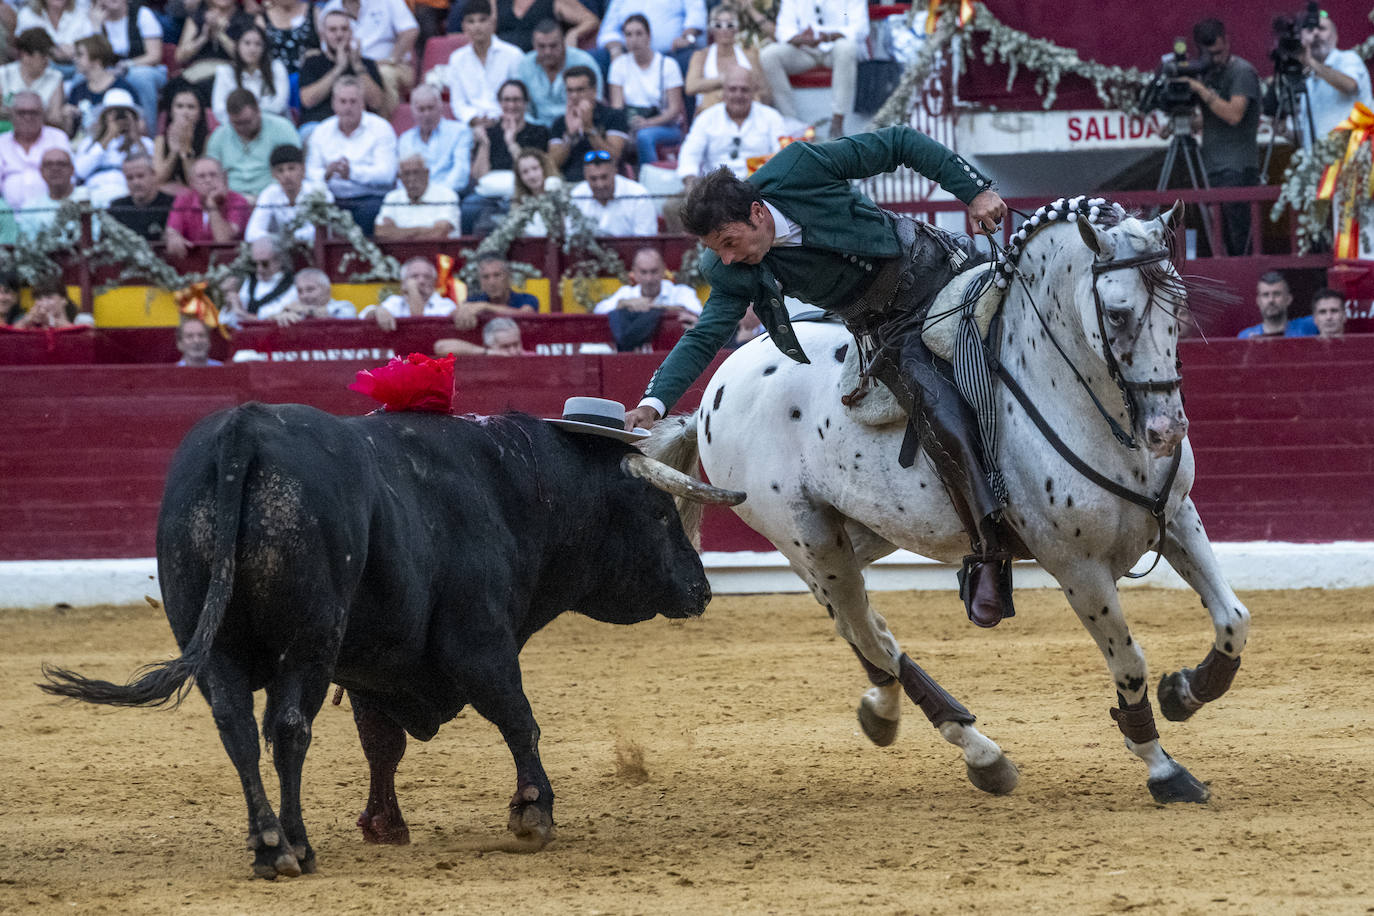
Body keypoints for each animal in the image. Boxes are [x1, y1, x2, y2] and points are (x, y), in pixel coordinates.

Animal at [42, 403, 747, 878]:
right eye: (658, 512)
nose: (701, 588)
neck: (514, 488)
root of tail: (245, 431)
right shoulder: (480, 643)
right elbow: (519, 719)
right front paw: (533, 814)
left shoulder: (373, 668)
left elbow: (382, 745)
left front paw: (383, 825)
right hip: (310, 644)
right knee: (289, 727)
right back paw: (293, 847)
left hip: (216, 647)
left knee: (238, 728)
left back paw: (266, 841)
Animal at [648, 199, 1253, 802]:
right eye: (1119, 314)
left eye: (1179, 304)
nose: (1166, 430)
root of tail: (717, 387)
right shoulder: (1076, 566)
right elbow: (1129, 661)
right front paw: (1163, 769)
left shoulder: (1177, 515)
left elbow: (1233, 619)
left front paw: (1184, 691)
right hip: (809, 540)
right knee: (866, 630)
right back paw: (980, 752)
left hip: (854, 534)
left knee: (856, 623)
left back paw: (886, 711)